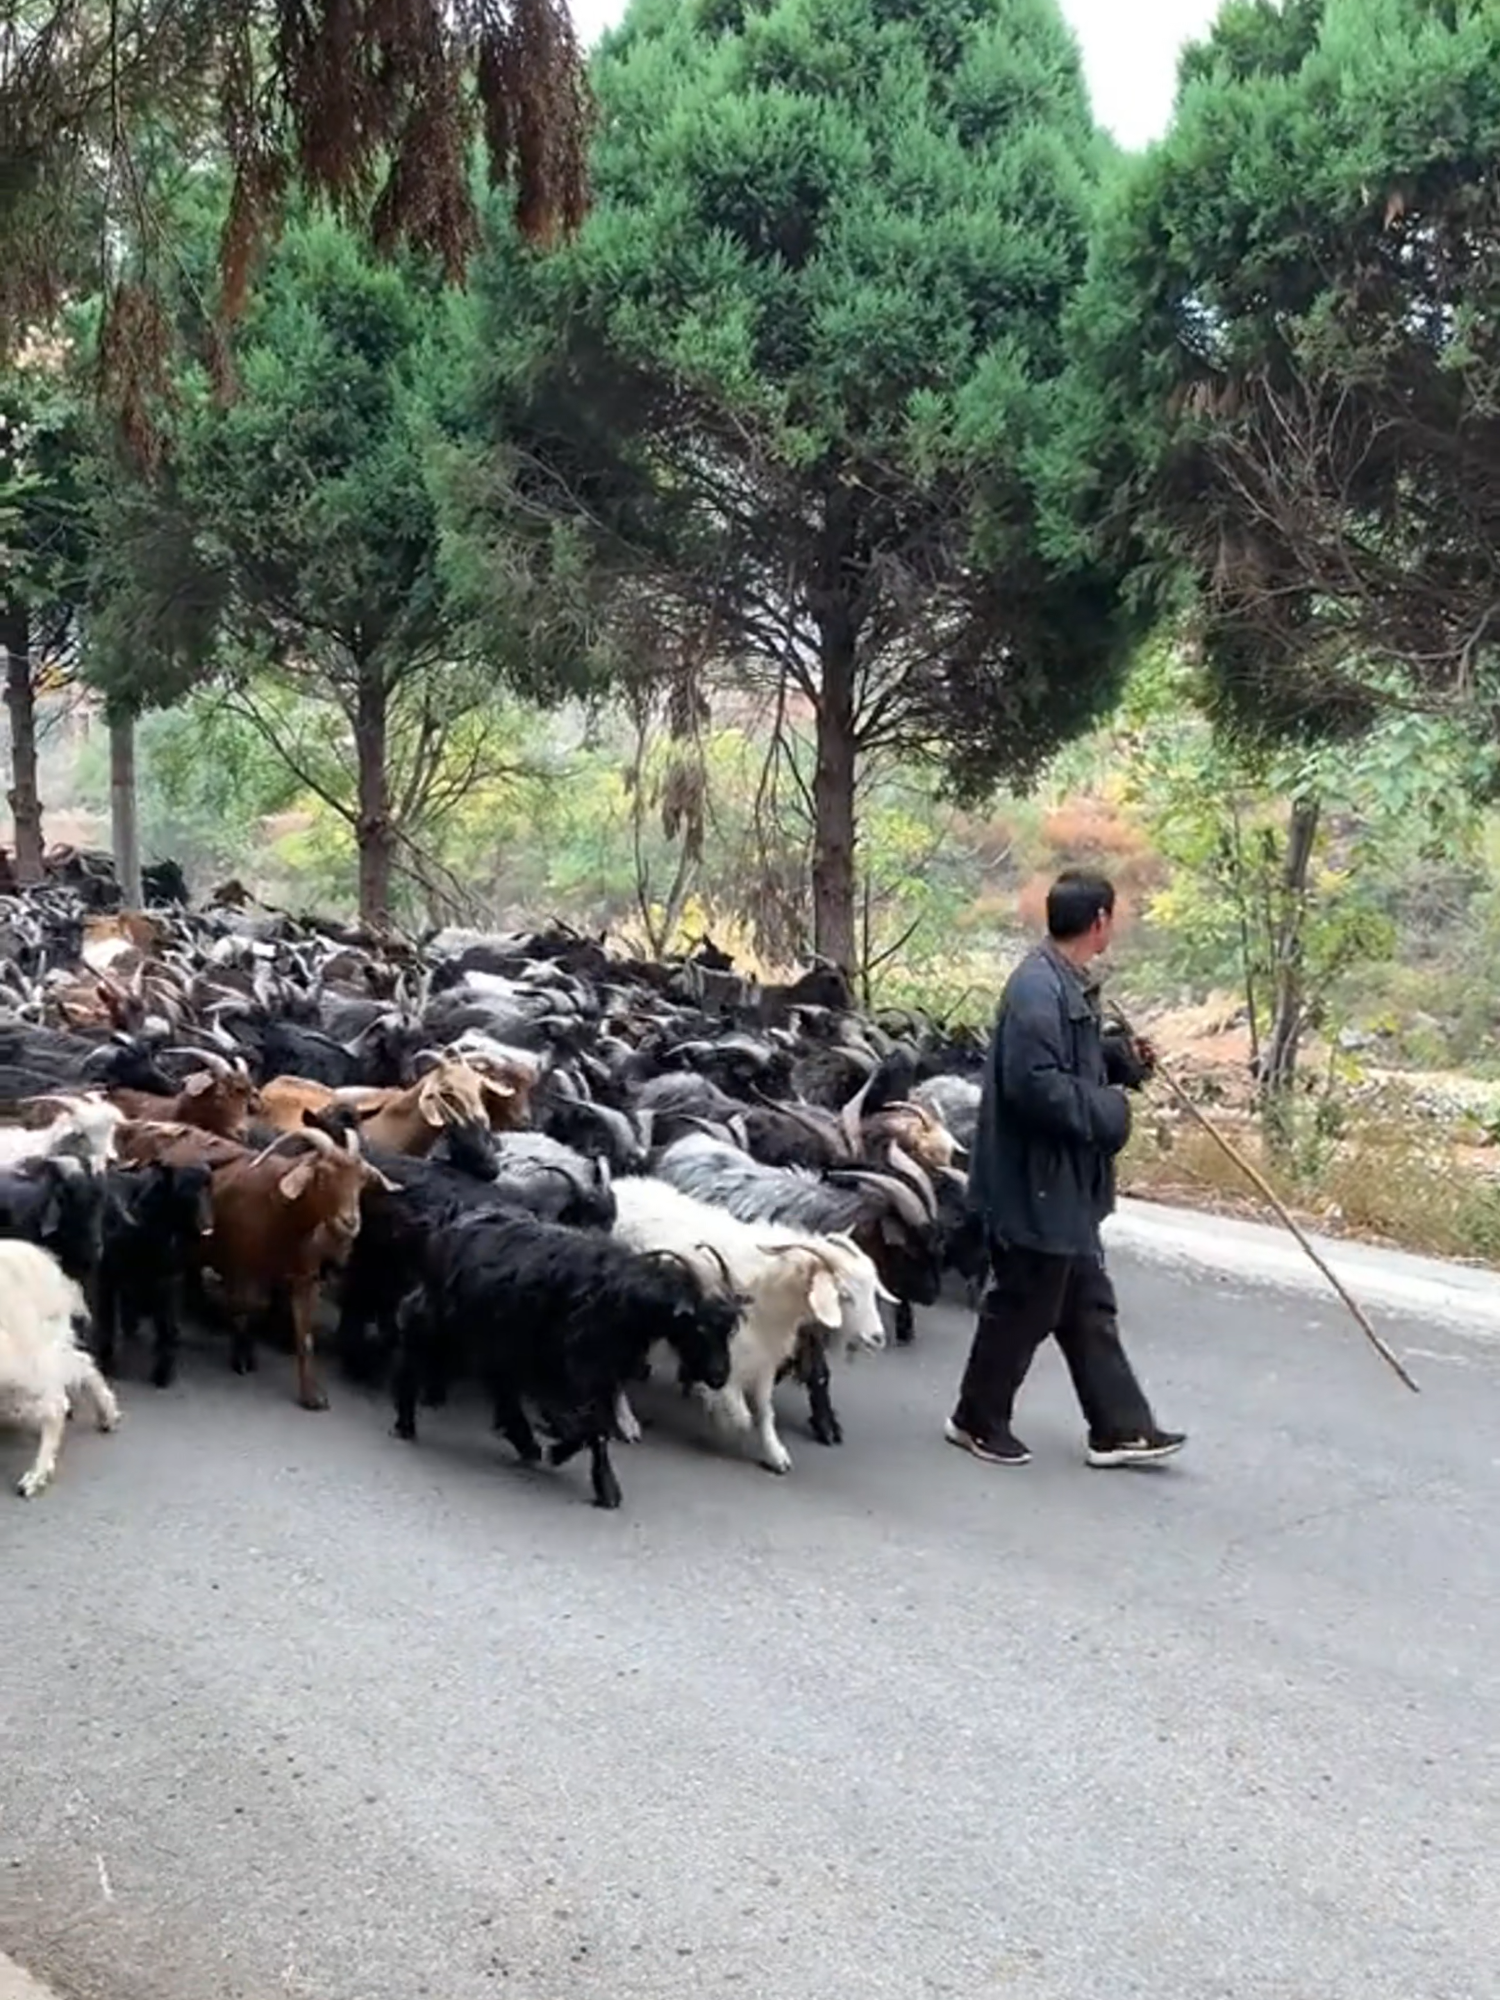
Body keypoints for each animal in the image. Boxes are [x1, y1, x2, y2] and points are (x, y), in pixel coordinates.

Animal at [117, 1120, 396, 1416]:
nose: (350, 1222)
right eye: (322, 1175)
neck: (280, 1211)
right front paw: (243, 1358)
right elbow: (245, 1308)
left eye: (362, 1179)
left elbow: (304, 1337)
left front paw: (312, 1396)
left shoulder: (305, 1279)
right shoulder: (241, 1267)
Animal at [608, 1168, 848, 1472]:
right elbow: (741, 1413)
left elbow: (764, 1411)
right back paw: (628, 1423)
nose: (876, 1337)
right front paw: (723, 1420)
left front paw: (775, 1454)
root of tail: (621, 1184)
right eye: (840, 1289)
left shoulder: (762, 1360)